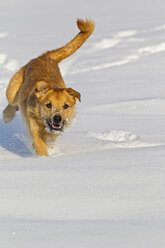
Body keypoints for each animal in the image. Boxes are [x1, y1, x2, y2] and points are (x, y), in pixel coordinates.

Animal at [2, 18, 94, 156]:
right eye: (48, 105)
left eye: (66, 106)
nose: (57, 118)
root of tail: (45, 57)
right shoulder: (34, 128)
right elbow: (40, 146)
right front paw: (45, 158)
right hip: (12, 91)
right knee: (12, 103)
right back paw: (7, 115)